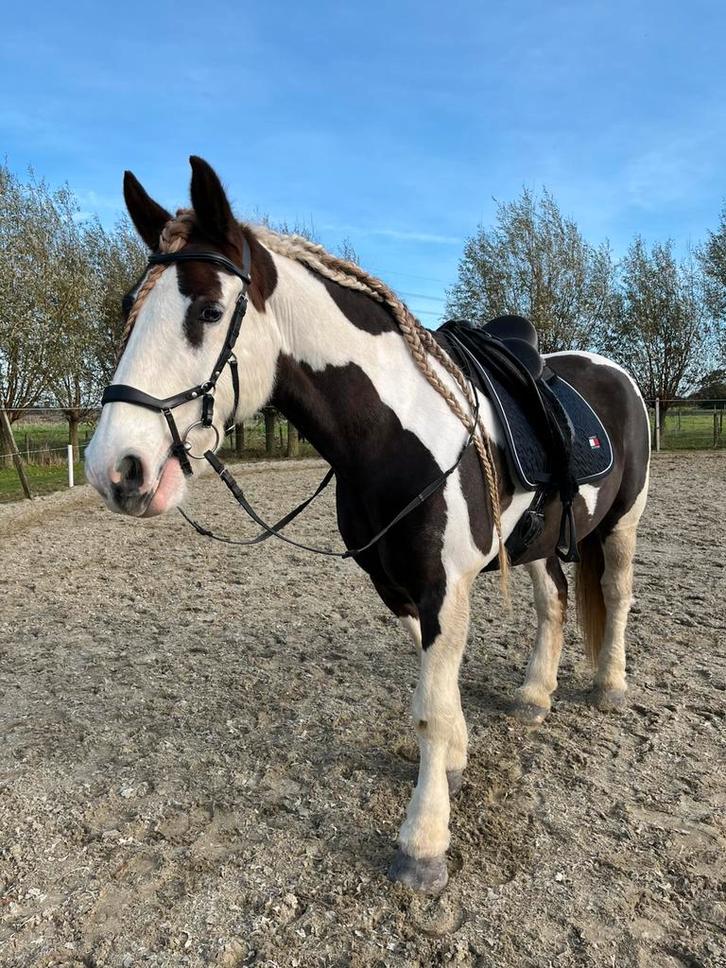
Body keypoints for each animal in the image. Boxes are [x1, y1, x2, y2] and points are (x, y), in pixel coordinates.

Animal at [84, 156, 650, 895]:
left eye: (208, 311)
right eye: (130, 307)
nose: (115, 469)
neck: (394, 435)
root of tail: (611, 371)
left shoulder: (444, 587)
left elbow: (430, 706)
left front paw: (424, 842)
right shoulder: (396, 585)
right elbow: (435, 691)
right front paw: (458, 760)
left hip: (622, 524)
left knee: (614, 594)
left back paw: (609, 686)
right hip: (540, 540)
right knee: (553, 601)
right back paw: (534, 695)